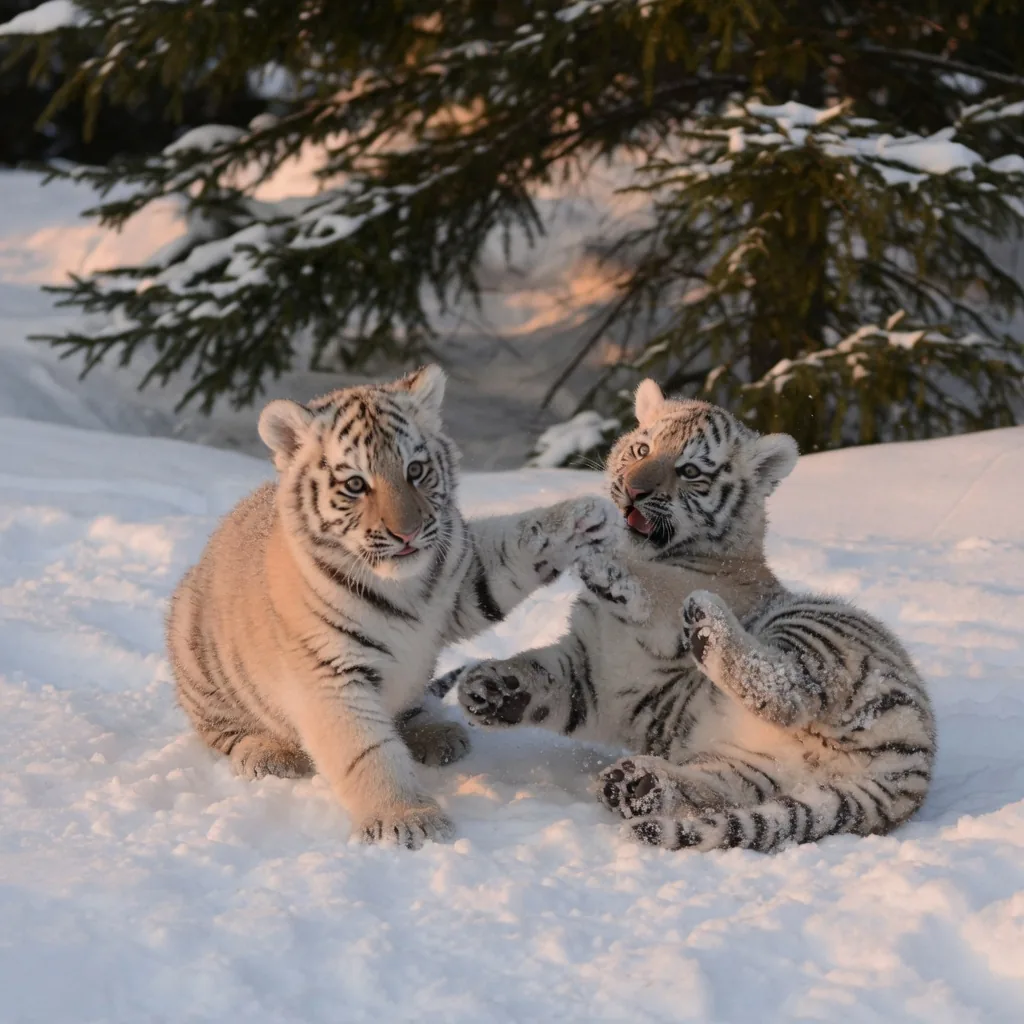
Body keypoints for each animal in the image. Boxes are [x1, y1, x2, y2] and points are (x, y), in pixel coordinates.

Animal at [166, 366, 619, 849]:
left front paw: (584, 517)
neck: (401, 586)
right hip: (198, 651)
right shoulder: (331, 674)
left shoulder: (463, 583)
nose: (407, 533)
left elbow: (513, 549)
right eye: (355, 484)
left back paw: (437, 732)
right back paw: (269, 752)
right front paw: (406, 819)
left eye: (415, 470)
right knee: (223, 729)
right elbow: (368, 752)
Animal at [443, 380, 935, 852]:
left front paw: (606, 570)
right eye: (643, 449)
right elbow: (543, 674)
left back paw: (705, 625)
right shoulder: (589, 670)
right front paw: (490, 689)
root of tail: (913, 773)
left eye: (691, 471)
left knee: (788, 690)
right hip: (758, 772)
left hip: (819, 627)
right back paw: (636, 784)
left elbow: (663, 587)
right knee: (719, 787)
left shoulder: (686, 599)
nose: (634, 490)